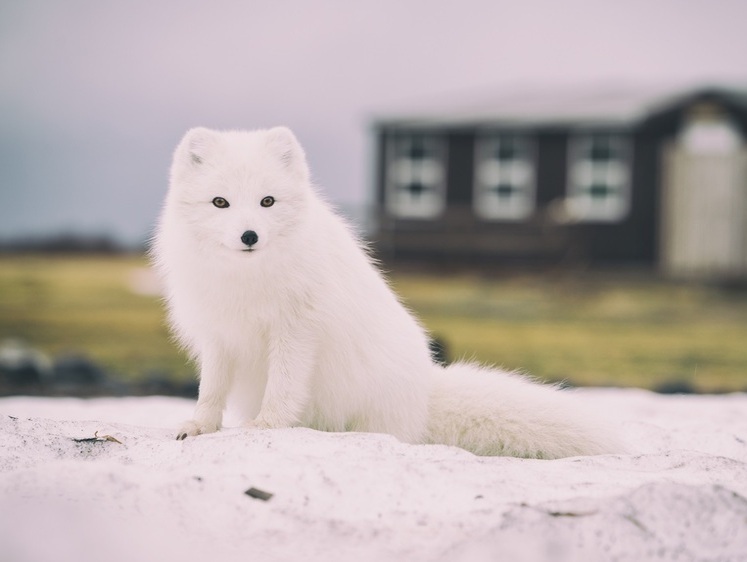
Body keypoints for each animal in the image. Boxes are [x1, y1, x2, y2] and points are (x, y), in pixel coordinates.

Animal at [152, 128, 620, 460]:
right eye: (220, 203)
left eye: (267, 201)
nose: (249, 236)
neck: (246, 279)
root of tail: (425, 393)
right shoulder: (217, 335)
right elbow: (210, 390)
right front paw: (199, 426)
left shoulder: (295, 330)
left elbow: (283, 386)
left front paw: (266, 426)